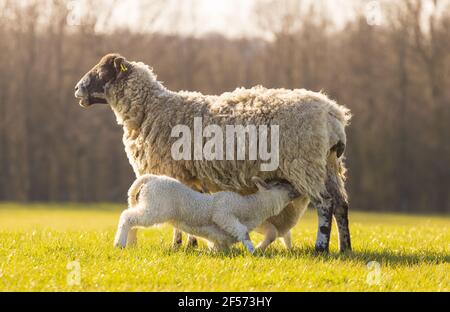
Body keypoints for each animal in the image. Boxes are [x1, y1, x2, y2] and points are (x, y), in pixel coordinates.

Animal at [114, 174, 300, 252]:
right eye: (280, 184)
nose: (297, 190)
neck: (250, 206)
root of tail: (152, 178)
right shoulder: (224, 211)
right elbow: (243, 232)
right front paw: (252, 251)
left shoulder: (219, 237)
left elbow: (219, 246)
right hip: (155, 208)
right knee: (127, 217)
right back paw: (119, 244)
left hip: (149, 205)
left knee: (133, 219)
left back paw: (130, 243)